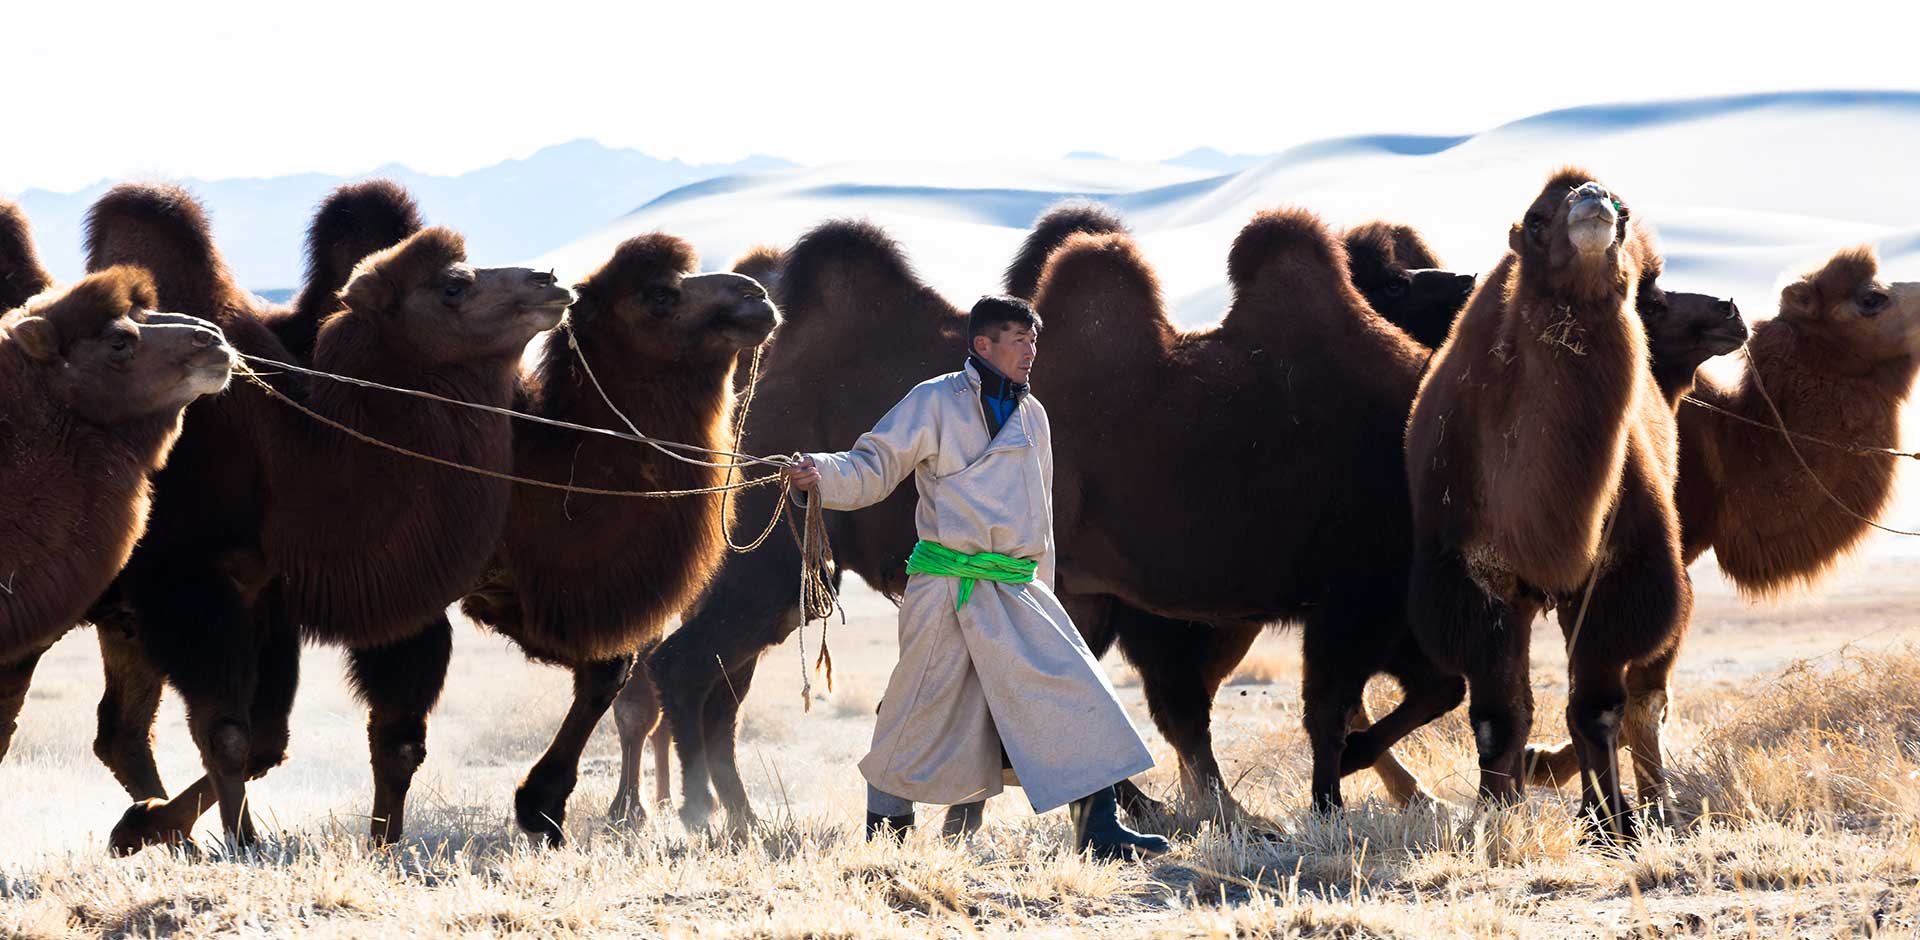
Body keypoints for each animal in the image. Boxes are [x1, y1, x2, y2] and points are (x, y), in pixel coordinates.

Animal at [84, 183, 568, 851]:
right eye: (453, 285)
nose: (552, 281)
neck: (288, 451)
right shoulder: (188, 584)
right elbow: (228, 732)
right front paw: (243, 847)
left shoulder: (260, 592)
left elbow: (271, 737)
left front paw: (156, 827)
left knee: (122, 732)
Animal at [1405, 164, 1689, 840]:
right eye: (1536, 219)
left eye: (1622, 207)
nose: (1592, 202)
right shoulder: (1474, 580)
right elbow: (1499, 716)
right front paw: (1494, 818)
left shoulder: (1616, 576)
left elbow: (1597, 709)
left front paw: (1615, 826)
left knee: (1639, 703)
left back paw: (1649, 806)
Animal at [1520, 245, 1912, 813]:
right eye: (1871, 299)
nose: (1729, 309)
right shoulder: (1633, 570)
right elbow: (1635, 697)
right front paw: (1640, 809)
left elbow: (1628, 697)